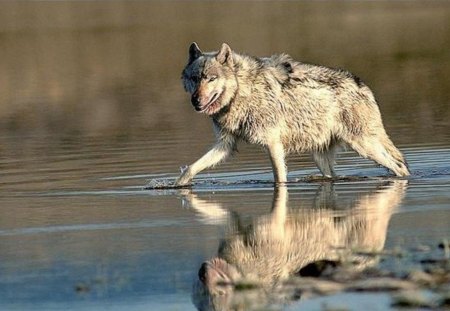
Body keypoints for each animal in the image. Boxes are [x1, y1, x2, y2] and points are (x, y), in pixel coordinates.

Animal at [176, 42, 408, 186]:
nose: (195, 100)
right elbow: (190, 169)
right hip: (321, 158)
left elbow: (279, 178)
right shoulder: (225, 145)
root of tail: (363, 85)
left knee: (400, 168)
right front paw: (177, 185)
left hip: (364, 146)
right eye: (195, 78)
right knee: (334, 175)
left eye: (211, 78)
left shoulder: (273, 144)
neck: (242, 91)